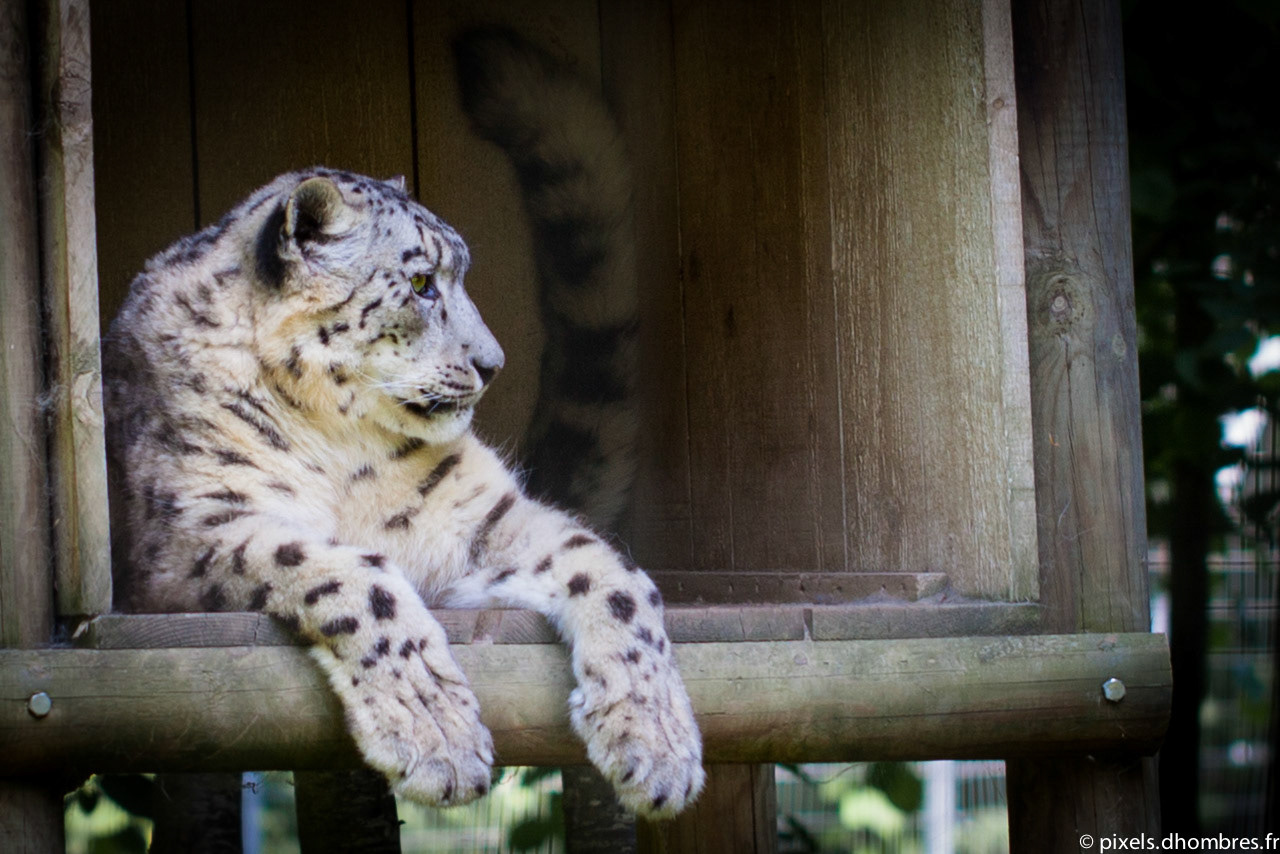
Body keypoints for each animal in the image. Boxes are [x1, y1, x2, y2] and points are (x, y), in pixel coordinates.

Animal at [101, 29, 704, 818]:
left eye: (459, 273)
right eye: (421, 283)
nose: (492, 362)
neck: (339, 447)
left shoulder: (476, 519)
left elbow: (610, 569)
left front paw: (659, 743)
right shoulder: (195, 530)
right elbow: (352, 576)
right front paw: (437, 735)